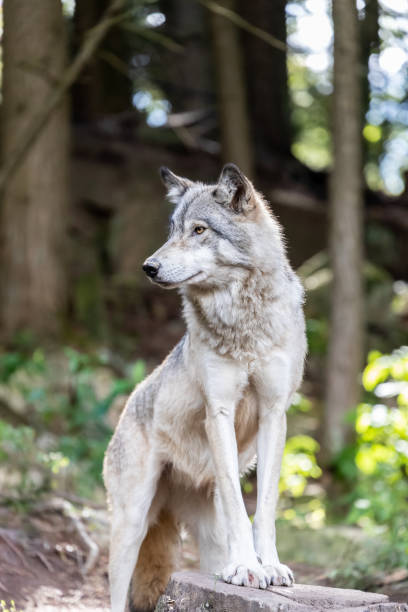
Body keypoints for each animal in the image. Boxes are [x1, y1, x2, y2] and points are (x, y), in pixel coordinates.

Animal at [103, 164, 308, 612]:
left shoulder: (274, 415)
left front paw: (269, 566)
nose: (148, 267)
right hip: (130, 527)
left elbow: (264, 506)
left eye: (199, 230)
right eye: (172, 230)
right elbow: (237, 501)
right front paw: (249, 567)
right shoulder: (219, 411)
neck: (243, 322)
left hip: (201, 537)